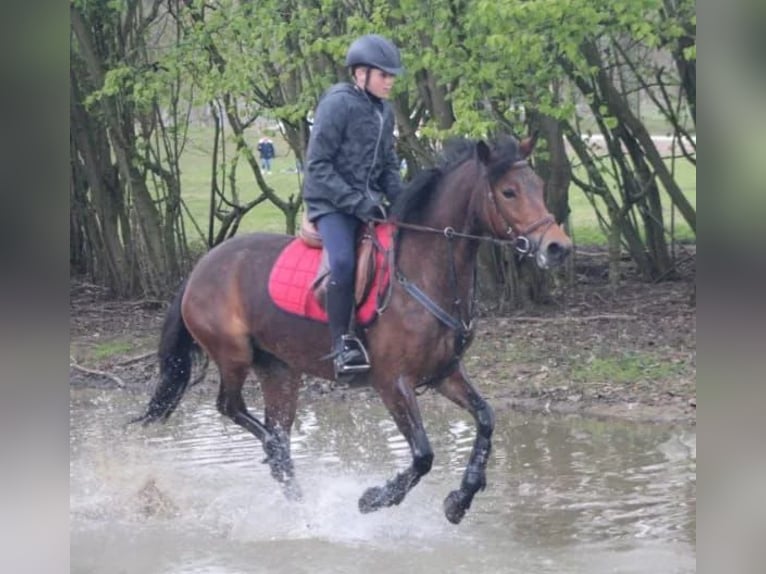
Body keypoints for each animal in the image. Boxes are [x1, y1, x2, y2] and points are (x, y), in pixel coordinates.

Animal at [133, 134, 572, 524]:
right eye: (509, 192)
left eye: (537, 186)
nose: (558, 248)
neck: (423, 271)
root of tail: (201, 268)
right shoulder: (392, 382)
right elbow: (423, 455)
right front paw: (375, 499)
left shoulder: (444, 374)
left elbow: (485, 420)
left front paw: (460, 499)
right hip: (233, 354)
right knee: (232, 407)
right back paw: (280, 461)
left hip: (279, 369)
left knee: (277, 428)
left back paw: (296, 494)